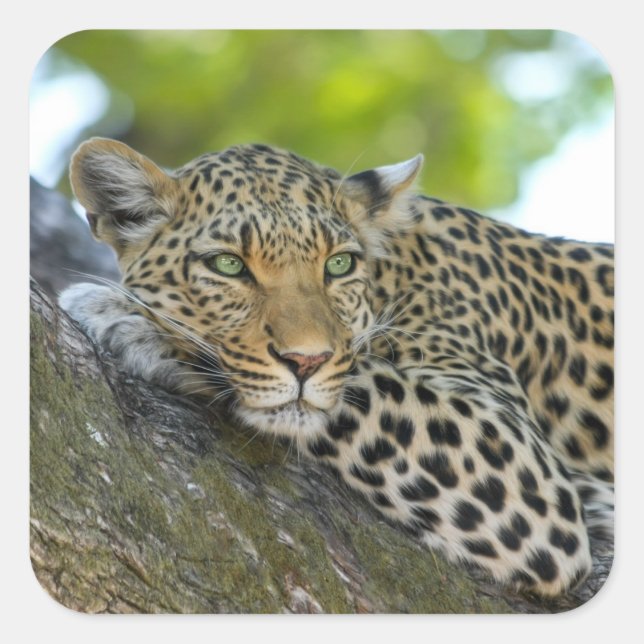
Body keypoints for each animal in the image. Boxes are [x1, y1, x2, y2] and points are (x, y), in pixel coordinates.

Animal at [59, 137, 614, 597]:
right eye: (228, 265)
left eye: (339, 265)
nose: (307, 361)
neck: (396, 274)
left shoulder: (525, 469)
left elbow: (355, 382)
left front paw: (128, 319)